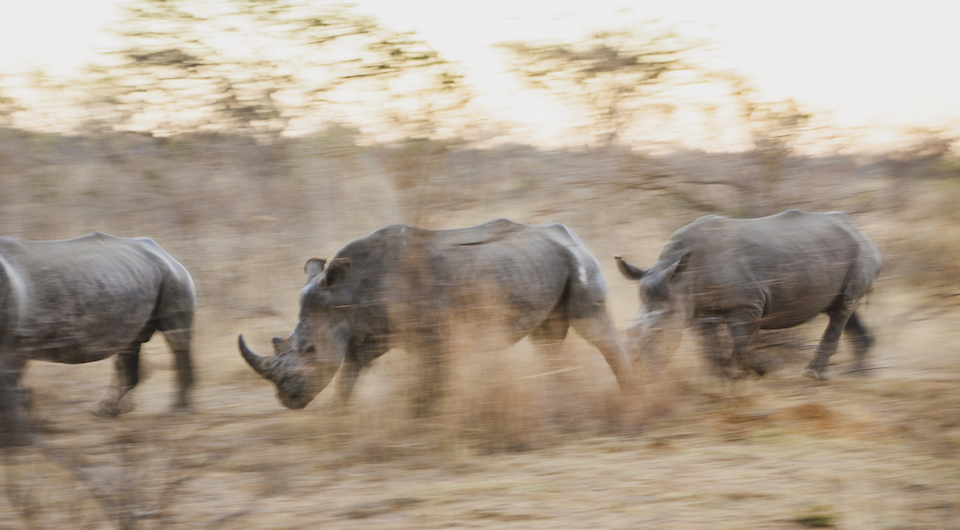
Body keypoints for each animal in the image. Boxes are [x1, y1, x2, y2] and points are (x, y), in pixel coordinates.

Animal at [0, 232, 196, 445]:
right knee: (129, 345)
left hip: (173, 277)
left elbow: (9, 382)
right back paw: (107, 411)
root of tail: (163, 251)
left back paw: (178, 411)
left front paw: (20, 440)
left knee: (176, 339)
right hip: (138, 278)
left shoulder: (16, 339)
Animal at [239, 219, 633, 411]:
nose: (288, 400)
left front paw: (427, 420)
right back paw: (557, 395)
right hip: (538, 265)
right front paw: (339, 415)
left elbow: (431, 382)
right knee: (548, 339)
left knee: (592, 327)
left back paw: (631, 394)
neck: (343, 293)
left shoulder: (431, 337)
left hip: (578, 262)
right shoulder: (366, 334)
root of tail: (573, 236)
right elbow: (349, 374)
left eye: (309, 350)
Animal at [615, 210, 881, 380]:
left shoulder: (747, 305)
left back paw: (813, 375)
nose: (640, 374)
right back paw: (859, 373)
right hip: (836, 253)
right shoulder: (697, 309)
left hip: (860, 252)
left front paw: (762, 370)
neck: (680, 277)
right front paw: (720, 377)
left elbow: (740, 347)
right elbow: (709, 346)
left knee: (842, 309)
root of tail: (858, 228)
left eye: (658, 334)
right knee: (845, 308)